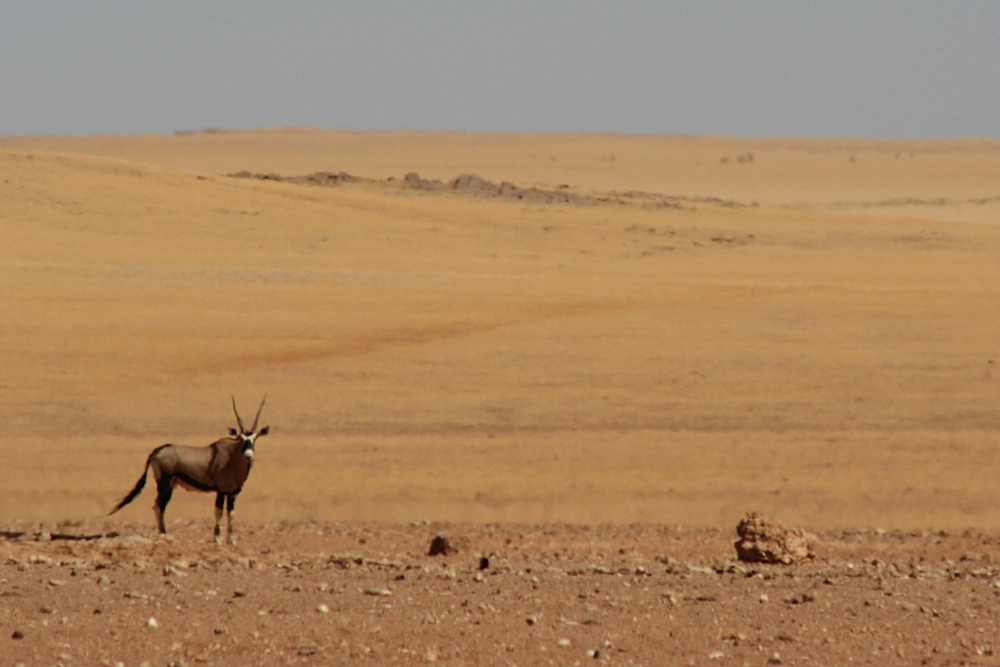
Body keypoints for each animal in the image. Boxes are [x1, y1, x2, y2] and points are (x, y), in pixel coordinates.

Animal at [109, 396, 269, 545]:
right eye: (241, 439)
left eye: (254, 439)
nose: (248, 455)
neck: (232, 455)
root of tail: (157, 451)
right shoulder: (221, 491)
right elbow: (219, 512)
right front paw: (217, 539)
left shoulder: (233, 493)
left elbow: (231, 514)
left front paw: (231, 541)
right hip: (164, 482)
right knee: (158, 506)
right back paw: (163, 534)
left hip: (171, 485)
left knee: (161, 505)